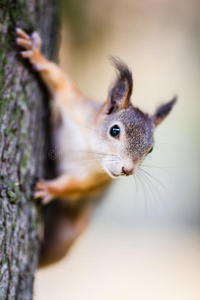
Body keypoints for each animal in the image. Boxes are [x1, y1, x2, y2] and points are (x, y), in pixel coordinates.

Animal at [16, 28, 177, 266]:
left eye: (151, 150)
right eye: (115, 130)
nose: (128, 170)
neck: (88, 147)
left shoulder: (95, 179)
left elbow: (75, 186)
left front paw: (48, 189)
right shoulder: (76, 107)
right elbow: (60, 81)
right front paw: (35, 53)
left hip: (70, 232)